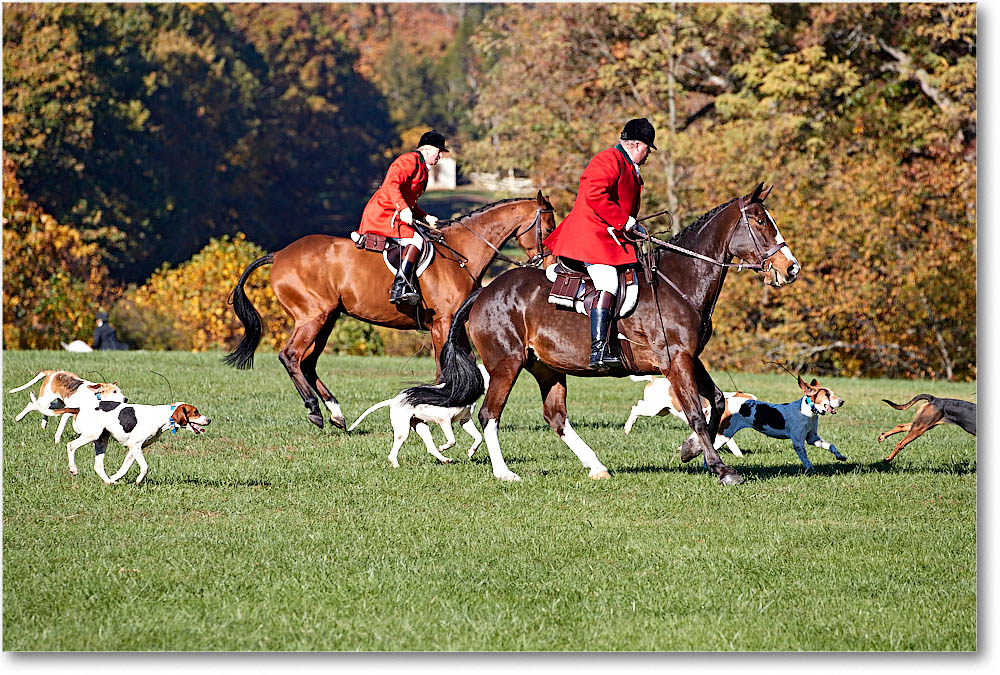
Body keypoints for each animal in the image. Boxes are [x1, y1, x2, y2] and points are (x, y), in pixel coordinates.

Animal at [223, 190, 560, 430]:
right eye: (548, 227)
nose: (549, 266)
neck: (461, 254)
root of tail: (279, 254)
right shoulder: (442, 323)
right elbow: (444, 369)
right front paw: (437, 410)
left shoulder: (454, 324)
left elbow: (464, 365)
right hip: (312, 317)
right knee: (291, 356)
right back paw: (315, 410)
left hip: (328, 318)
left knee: (308, 362)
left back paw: (335, 413)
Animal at [402, 180, 800, 486]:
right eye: (760, 222)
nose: (791, 268)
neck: (681, 281)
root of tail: (484, 292)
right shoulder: (675, 360)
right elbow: (697, 413)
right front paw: (721, 469)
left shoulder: (689, 358)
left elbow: (715, 401)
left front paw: (690, 450)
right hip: (506, 364)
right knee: (490, 414)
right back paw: (505, 473)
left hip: (547, 367)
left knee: (555, 417)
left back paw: (596, 466)